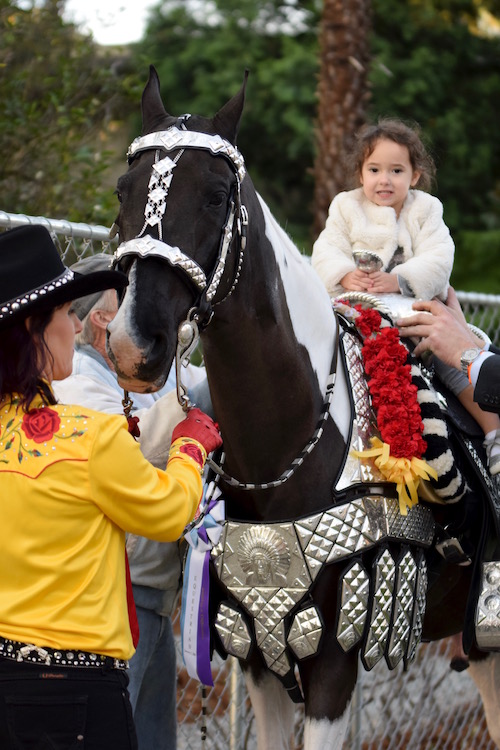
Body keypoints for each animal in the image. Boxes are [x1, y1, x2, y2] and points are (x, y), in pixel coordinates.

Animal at [107, 67, 500, 748]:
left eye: (216, 196)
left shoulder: (335, 664)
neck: (288, 447)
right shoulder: (259, 656)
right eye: (124, 189)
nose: (136, 342)